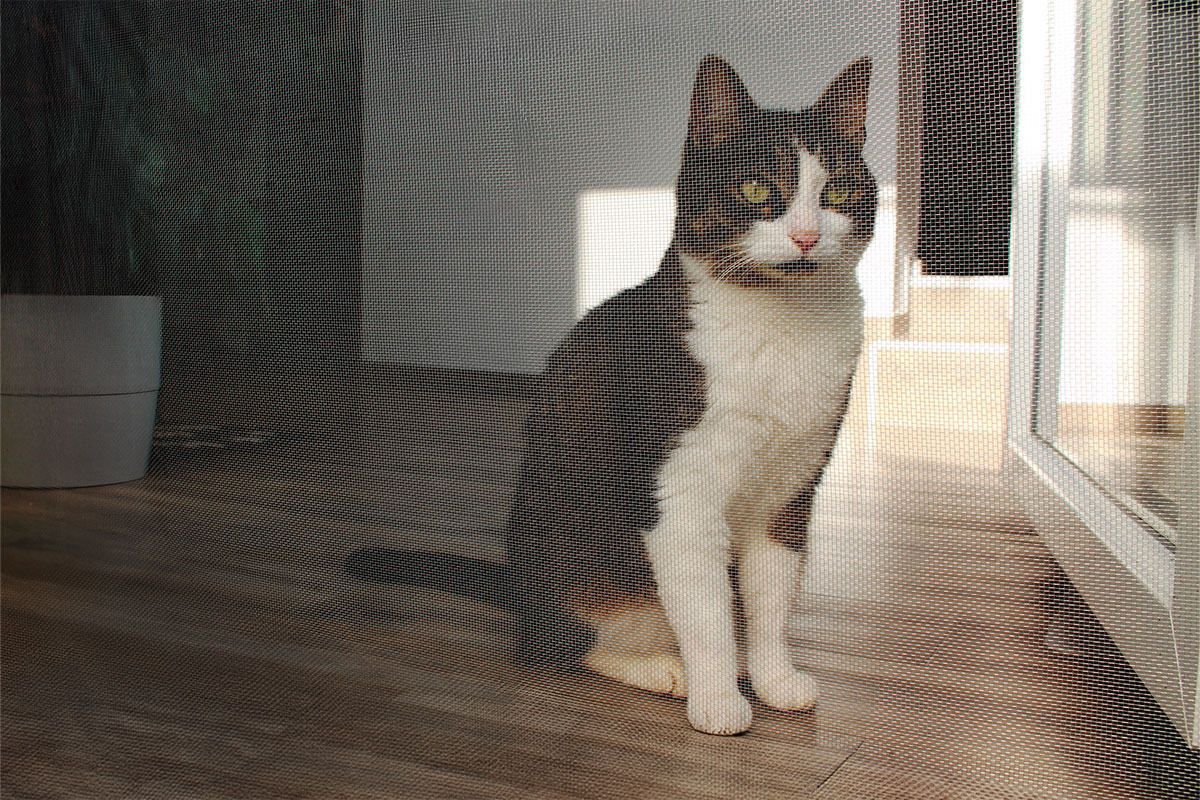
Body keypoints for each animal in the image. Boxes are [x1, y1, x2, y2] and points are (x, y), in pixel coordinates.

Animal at [348, 53, 873, 734]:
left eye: (838, 193)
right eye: (759, 190)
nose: (807, 236)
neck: (785, 330)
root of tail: (515, 586)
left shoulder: (790, 487)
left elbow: (770, 596)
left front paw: (773, 678)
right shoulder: (679, 490)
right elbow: (705, 610)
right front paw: (718, 704)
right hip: (564, 555)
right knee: (558, 643)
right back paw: (663, 669)